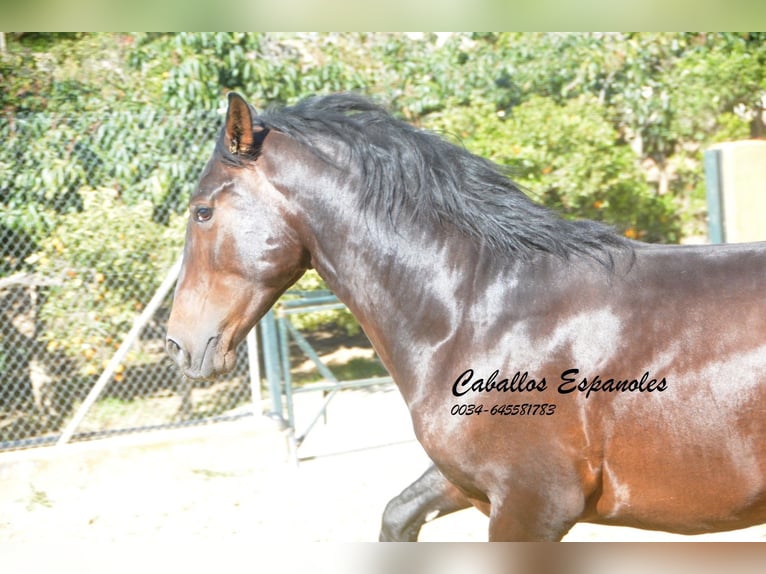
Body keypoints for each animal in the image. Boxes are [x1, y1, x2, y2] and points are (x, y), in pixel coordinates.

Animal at [170, 92, 766, 544]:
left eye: (202, 212)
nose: (179, 344)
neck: (481, 316)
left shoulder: (531, 505)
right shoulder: (470, 484)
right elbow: (396, 516)